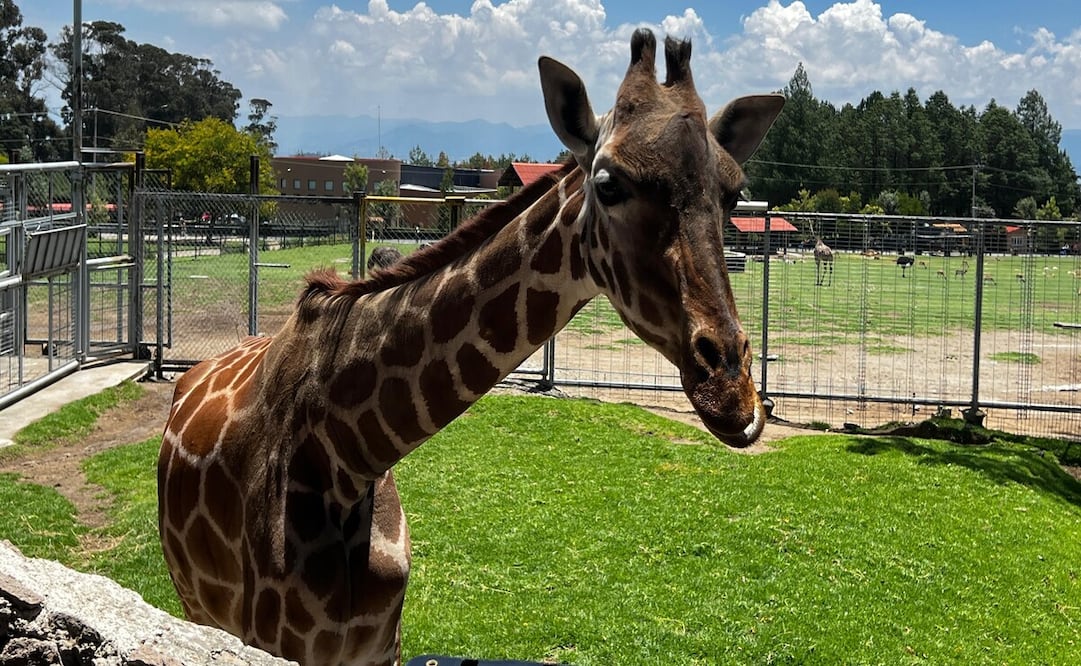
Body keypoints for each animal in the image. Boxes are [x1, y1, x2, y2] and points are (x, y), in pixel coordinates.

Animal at [158, 29, 783, 666]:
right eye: (608, 184)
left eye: (734, 195)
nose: (732, 393)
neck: (347, 454)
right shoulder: (273, 641)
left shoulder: (380, 644)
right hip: (197, 605)